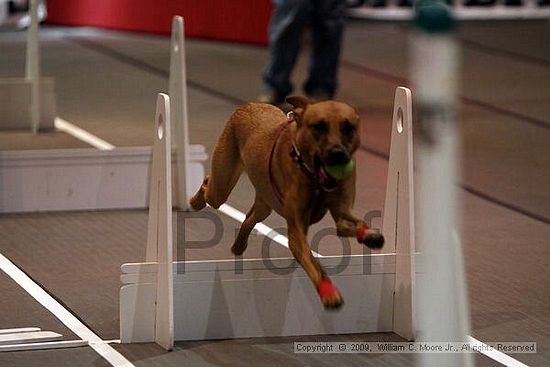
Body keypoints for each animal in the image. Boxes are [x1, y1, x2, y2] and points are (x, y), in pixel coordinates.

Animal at [192, 96, 386, 310]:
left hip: (265, 201)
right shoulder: (296, 231)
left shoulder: (341, 211)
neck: (314, 177)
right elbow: (313, 263)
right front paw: (328, 293)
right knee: (208, 183)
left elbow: (353, 224)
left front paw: (370, 236)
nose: (338, 154)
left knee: (250, 218)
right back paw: (195, 202)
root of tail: (249, 105)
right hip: (222, 185)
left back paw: (238, 246)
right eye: (319, 126)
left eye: (348, 127)